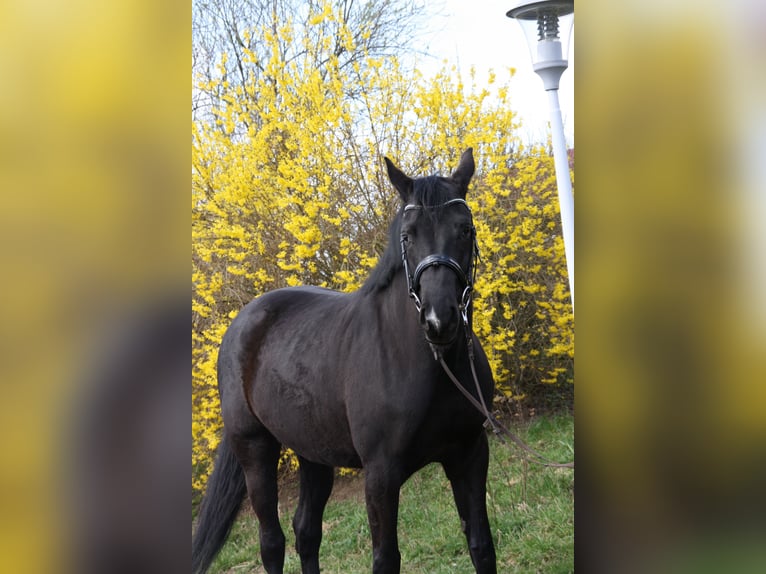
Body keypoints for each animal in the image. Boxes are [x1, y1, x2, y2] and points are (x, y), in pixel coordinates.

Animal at [194, 150, 498, 574]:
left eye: (465, 229)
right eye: (408, 235)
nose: (440, 320)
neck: (433, 365)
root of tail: (242, 321)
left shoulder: (470, 454)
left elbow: (481, 546)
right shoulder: (381, 474)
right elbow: (386, 559)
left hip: (312, 451)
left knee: (306, 532)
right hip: (255, 450)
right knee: (271, 542)